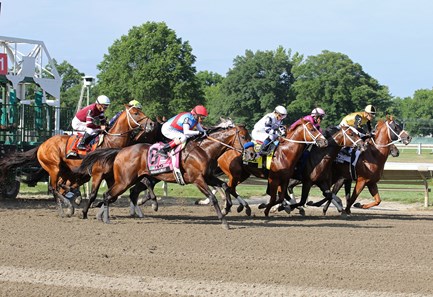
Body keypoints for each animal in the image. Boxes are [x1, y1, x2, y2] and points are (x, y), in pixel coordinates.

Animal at [74, 121, 250, 228]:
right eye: (243, 136)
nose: (252, 154)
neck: (204, 150)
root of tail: (121, 150)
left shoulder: (208, 177)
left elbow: (225, 185)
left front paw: (229, 207)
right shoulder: (198, 179)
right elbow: (213, 197)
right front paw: (224, 221)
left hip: (131, 179)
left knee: (119, 195)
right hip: (124, 180)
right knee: (108, 195)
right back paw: (104, 217)